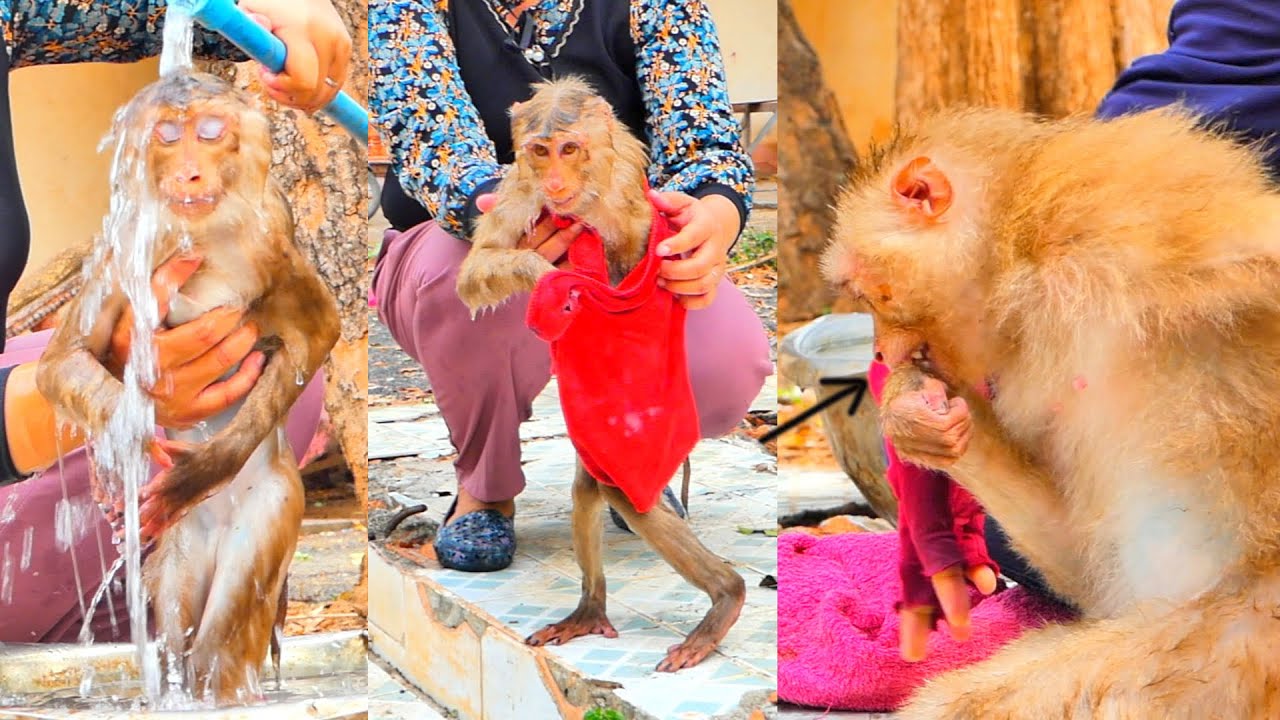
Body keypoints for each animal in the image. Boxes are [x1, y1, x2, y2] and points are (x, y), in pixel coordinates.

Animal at [36, 72, 339, 704]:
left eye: (210, 131)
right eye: (169, 136)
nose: (190, 174)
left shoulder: (269, 233)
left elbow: (321, 329)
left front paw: (199, 472)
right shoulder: (125, 245)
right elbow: (62, 361)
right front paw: (134, 436)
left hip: (272, 513)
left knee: (222, 638)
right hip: (180, 551)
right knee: (177, 624)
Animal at [820, 105, 1280, 719]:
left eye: (873, 295)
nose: (879, 353)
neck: (1017, 267)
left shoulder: (1119, 219)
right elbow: (1079, 562)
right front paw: (913, 411)